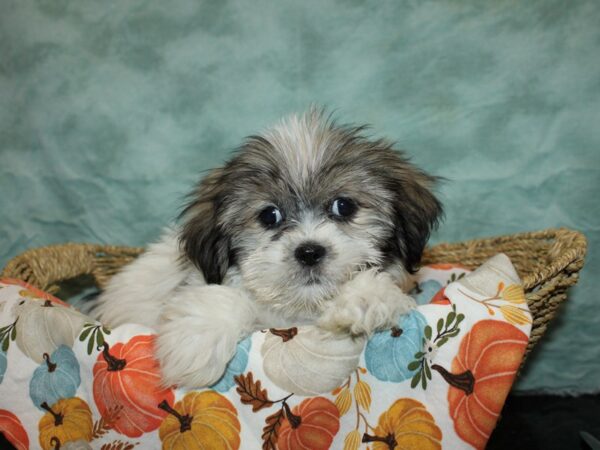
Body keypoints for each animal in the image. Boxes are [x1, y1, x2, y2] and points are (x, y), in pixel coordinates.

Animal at [92, 110, 440, 388]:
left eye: (344, 206)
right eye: (269, 215)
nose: (309, 251)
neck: (302, 312)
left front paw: (364, 299)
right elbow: (221, 299)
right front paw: (197, 340)